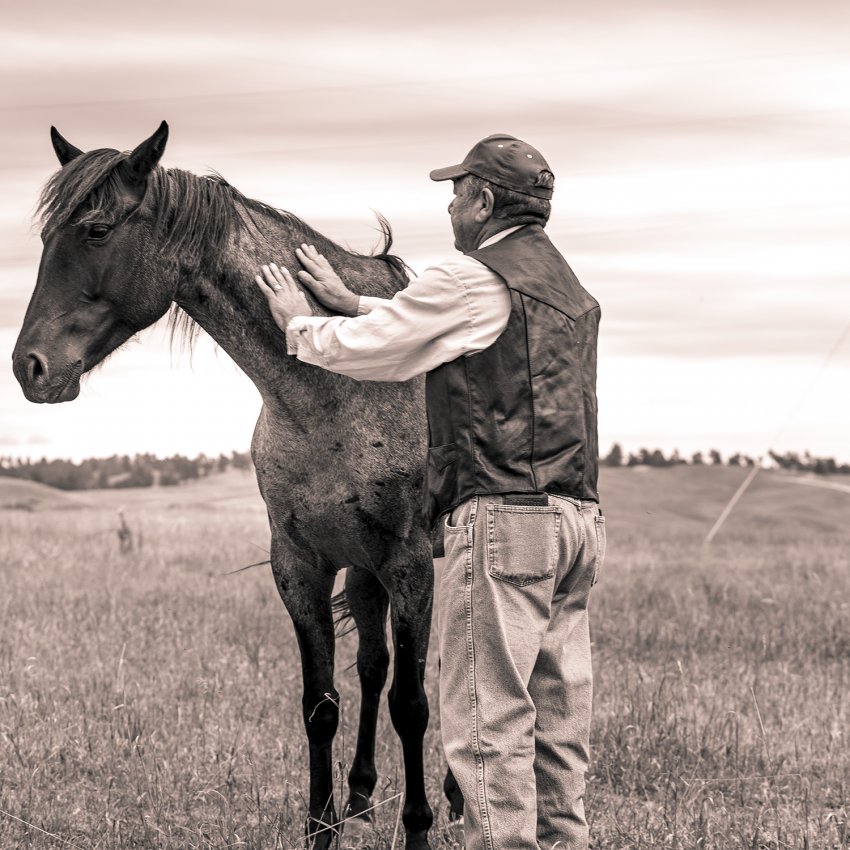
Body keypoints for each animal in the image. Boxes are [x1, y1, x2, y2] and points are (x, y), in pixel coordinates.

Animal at [11, 121, 444, 848]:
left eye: (97, 230)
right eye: (46, 237)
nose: (29, 367)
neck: (340, 380)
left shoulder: (411, 564)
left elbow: (412, 706)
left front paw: (418, 825)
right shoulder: (301, 565)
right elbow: (322, 704)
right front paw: (323, 826)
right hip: (363, 570)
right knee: (372, 662)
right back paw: (360, 793)